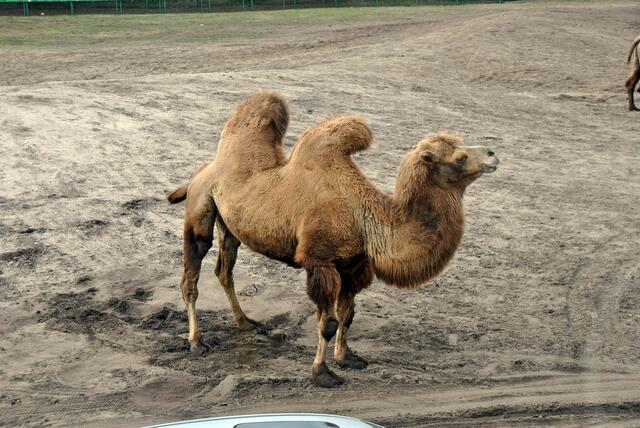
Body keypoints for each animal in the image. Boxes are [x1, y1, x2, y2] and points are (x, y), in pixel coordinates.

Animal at [167, 92, 499, 387]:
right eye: (460, 157)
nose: (493, 153)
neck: (364, 217)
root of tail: (203, 170)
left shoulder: (354, 264)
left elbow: (347, 314)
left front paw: (347, 358)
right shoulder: (320, 260)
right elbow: (327, 323)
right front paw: (321, 373)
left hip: (230, 226)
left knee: (224, 269)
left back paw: (245, 322)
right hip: (199, 210)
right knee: (191, 275)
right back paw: (196, 341)